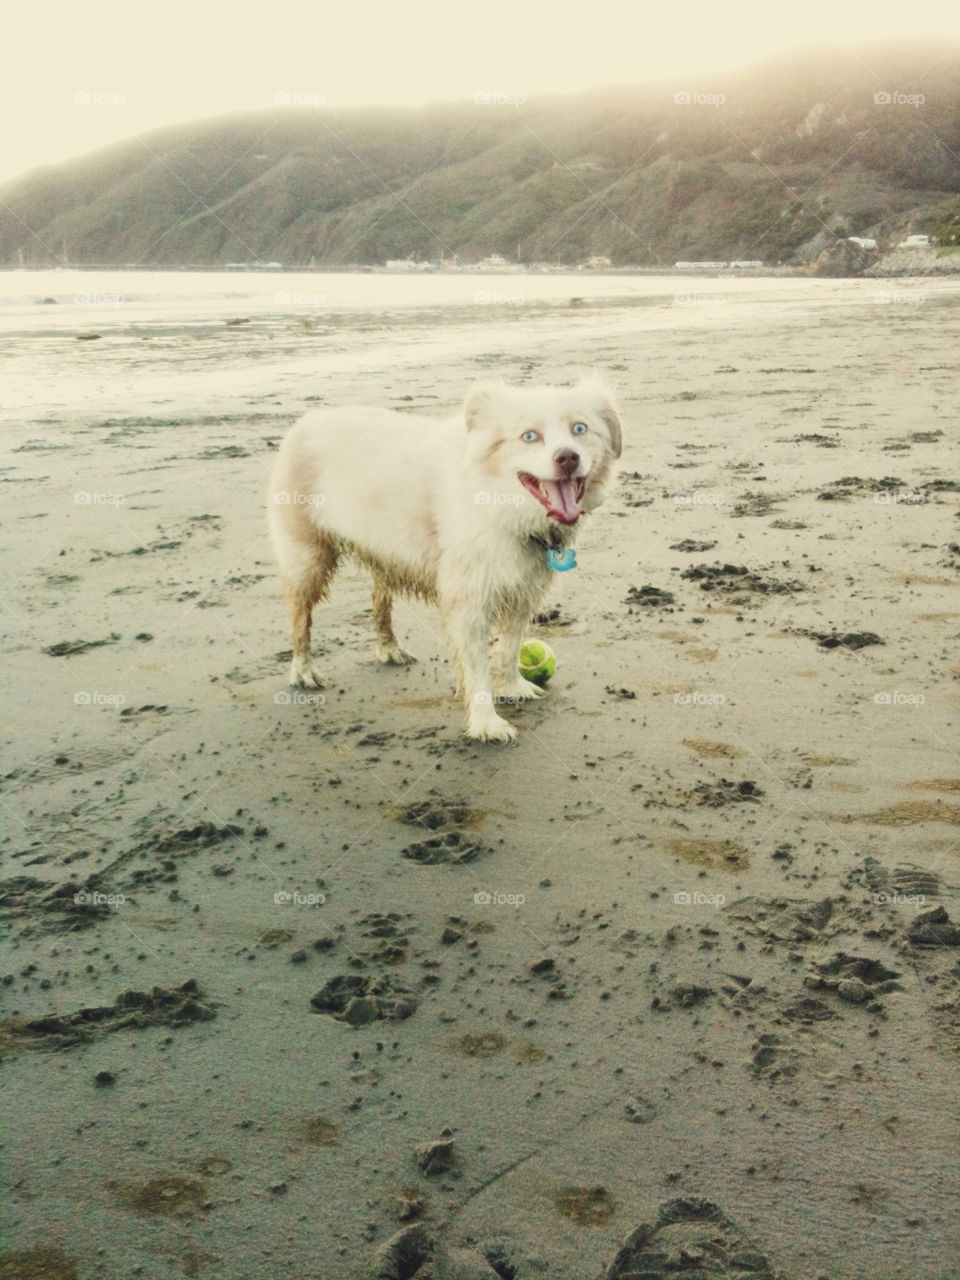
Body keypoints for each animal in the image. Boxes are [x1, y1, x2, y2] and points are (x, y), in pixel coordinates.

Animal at [268, 373, 624, 742]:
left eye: (580, 428)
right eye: (529, 436)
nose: (568, 458)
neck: (501, 505)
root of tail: (305, 422)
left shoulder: (523, 590)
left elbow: (510, 647)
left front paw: (514, 686)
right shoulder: (470, 602)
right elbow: (478, 668)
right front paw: (486, 722)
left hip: (386, 551)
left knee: (378, 598)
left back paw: (389, 648)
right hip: (307, 557)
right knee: (299, 617)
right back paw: (303, 671)